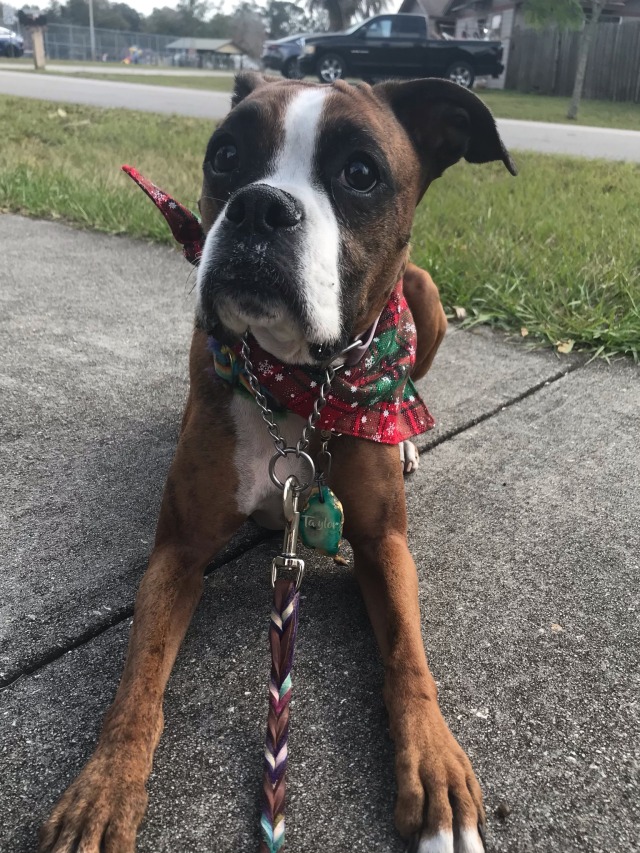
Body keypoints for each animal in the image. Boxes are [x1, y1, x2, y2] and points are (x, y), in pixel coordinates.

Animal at [40, 73, 516, 852]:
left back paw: (407, 430)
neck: (300, 385)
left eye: (360, 172)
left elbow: (409, 659)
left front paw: (438, 769)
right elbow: (138, 679)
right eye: (226, 155)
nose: (260, 206)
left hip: (426, 294)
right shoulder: (176, 554)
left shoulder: (384, 544)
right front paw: (102, 790)